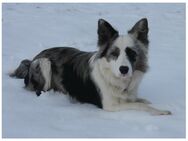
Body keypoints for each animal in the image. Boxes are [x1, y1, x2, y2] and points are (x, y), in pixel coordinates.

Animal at [10, 18, 172, 115]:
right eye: (114, 53)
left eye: (131, 53)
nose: (124, 69)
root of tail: (32, 59)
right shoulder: (109, 106)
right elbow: (139, 105)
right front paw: (160, 111)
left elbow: (138, 100)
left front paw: (145, 100)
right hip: (44, 62)